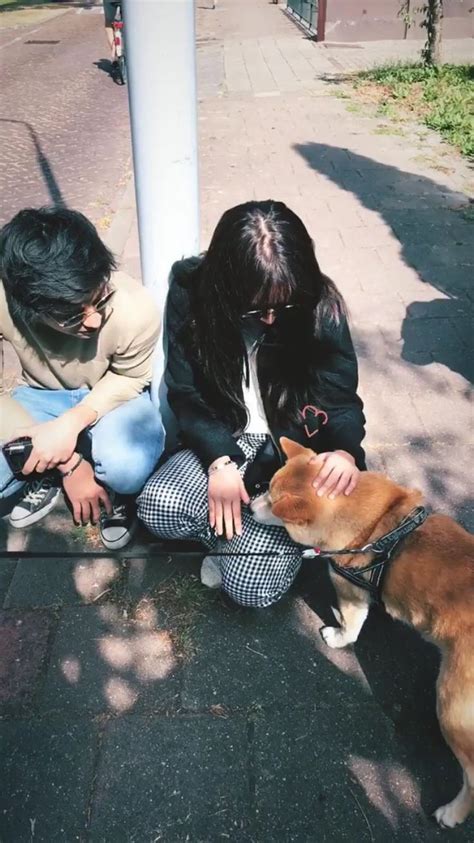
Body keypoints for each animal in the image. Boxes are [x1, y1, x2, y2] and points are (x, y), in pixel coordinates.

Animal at [252, 437, 474, 828]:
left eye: (273, 503)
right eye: (267, 488)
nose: (248, 505)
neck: (374, 527)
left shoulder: (351, 593)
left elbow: (351, 627)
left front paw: (338, 635)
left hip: (452, 708)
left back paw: (453, 812)